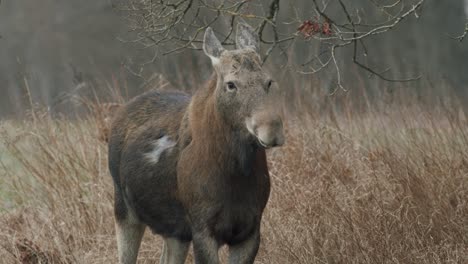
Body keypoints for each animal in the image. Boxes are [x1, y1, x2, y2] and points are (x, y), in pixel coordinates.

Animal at [109, 23, 286, 264]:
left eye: (268, 81)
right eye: (231, 84)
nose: (272, 130)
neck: (237, 175)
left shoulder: (250, 229)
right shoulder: (202, 229)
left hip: (175, 231)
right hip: (125, 211)